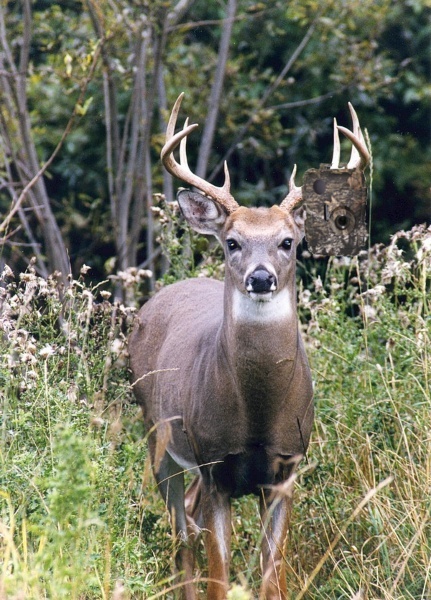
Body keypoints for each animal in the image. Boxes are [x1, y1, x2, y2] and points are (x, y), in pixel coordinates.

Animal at [130, 96, 370, 596]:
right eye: (232, 242)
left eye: (289, 241)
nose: (261, 277)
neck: (257, 414)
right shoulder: (213, 463)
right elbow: (219, 574)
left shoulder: (287, 468)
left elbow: (272, 577)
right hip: (156, 435)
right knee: (180, 532)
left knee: (186, 522)